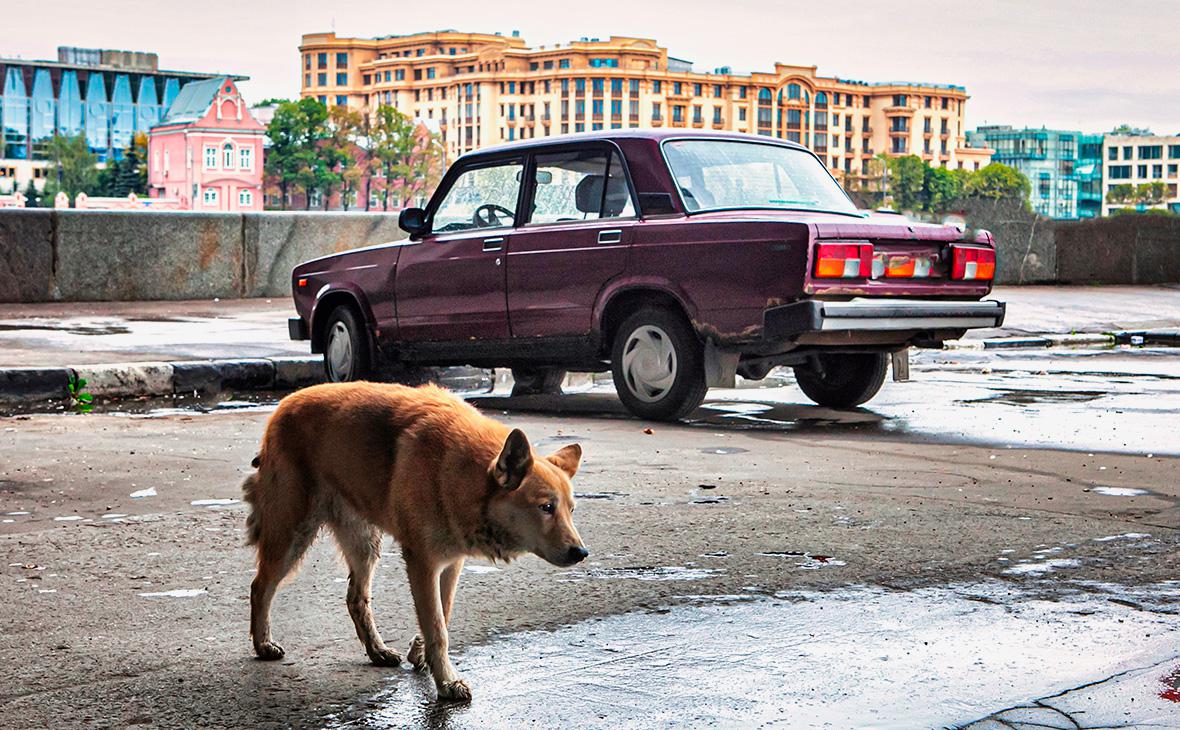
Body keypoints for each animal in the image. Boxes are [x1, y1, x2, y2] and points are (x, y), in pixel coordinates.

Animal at [244, 379, 590, 698]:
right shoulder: (422, 563)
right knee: (260, 587)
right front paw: (447, 682)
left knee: (356, 598)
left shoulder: (451, 564)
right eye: (546, 507)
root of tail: (285, 403)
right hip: (291, 537)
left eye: (571, 509)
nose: (581, 552)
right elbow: (437, 627)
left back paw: (377, 650)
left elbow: (442, 614)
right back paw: (263, 644)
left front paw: (422, 656)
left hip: (365, 544)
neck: (462, 474)